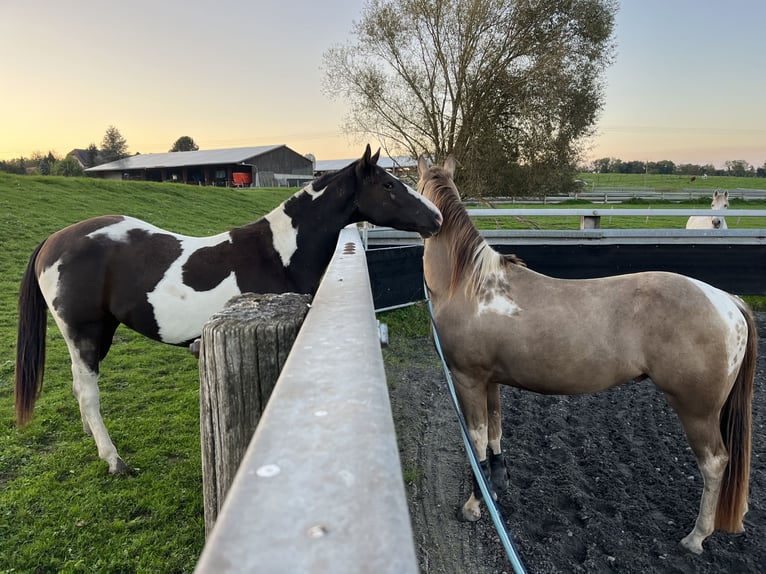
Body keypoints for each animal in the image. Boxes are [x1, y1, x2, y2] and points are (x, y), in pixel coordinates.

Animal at [14, 145, 442, 474]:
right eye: (389, 184)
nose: (436, 218)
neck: (279, 252)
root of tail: (53, 241)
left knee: (77, 385)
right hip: (86, 334)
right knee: (88, 393)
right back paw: (113, 459)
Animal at [417, 157, 756, 554]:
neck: (472, 285)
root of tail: (726, 300)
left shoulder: (468, 380)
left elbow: (476, 443)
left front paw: (473, 506)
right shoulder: (491, 382)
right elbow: (495, 434)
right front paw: (496, 491)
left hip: (698, 412)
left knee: (715, 464)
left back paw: (696, 536)